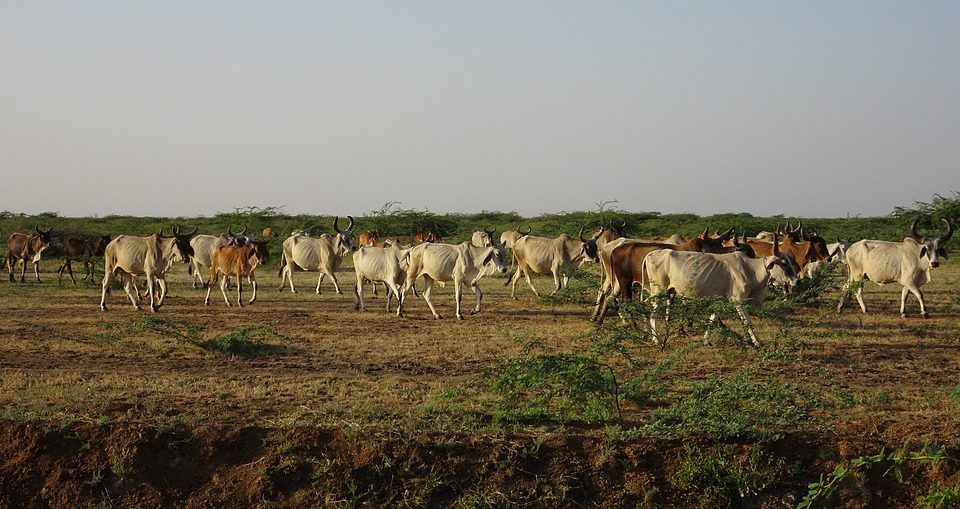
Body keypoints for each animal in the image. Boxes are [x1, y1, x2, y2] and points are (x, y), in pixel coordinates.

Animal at [640, 249, 800, 346]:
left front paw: (706, 340)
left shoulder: (722, 299)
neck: (750, 269)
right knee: (652, 314)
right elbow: (747, 321)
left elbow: (712, 318)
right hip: (658, 292)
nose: (797, 281)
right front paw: (757, 342)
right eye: (784, 264)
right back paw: (656, 339)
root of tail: (650, 254)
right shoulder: (738, 301)